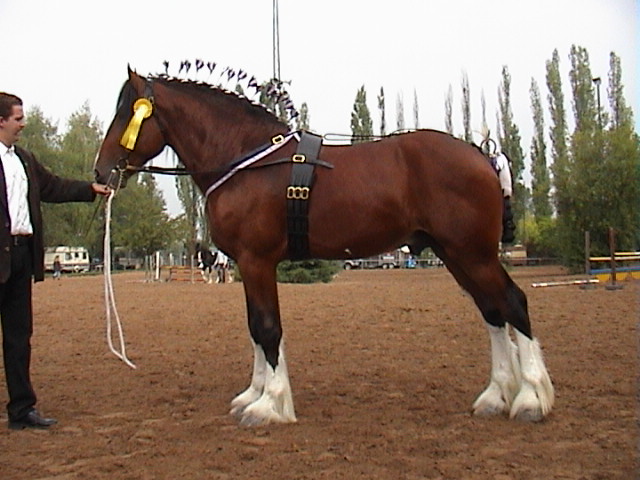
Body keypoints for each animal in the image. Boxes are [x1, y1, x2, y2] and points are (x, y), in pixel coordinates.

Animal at [92, 69, 552, 426]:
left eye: (127, 113)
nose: (100, 171)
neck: (249, 162)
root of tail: (482, 156)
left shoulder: (257, 261)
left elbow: (267, 328)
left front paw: (269, 405)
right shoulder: (246, 265)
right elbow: (255, 328)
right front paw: (253, 394)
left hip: (473, 253)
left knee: (513, 304)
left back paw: (531, 399)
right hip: (457, 254)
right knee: (492, 311)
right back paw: (495, 397)